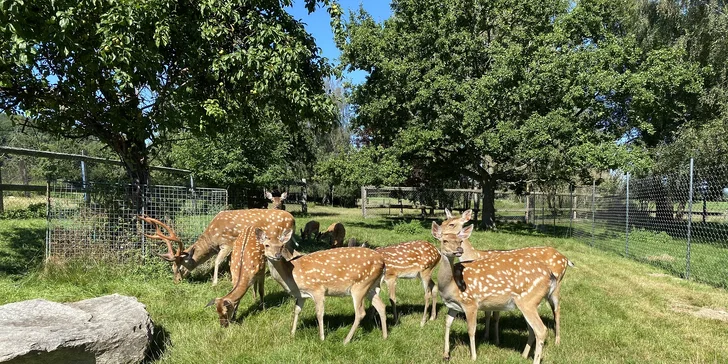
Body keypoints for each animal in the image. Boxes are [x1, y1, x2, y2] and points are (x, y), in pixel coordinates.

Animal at [139, 209, 292, 286]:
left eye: (181, 267)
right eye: (172, 268)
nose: (176, 281)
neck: (212, 240)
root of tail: (292, 218)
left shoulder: (228, 243)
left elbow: (218, 261)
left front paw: (215, 282)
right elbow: (230, 263)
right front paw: (231, 278)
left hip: (279, 239)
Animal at [430, 222, 556, 364]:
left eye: (460, 241)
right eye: (444, 240)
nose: (459, 249)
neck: (451, 285)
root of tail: (550, 275)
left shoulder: (470, 303)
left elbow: (471, 330)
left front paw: (473, 357)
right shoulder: (453, 306)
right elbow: (447, 324)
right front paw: (445, 354)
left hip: (528, 300)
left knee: (541, 329)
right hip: (530, 303)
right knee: (532, 329)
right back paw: (523, 356)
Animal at [438, 209, 576, 346]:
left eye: (452, 224)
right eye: (444, 221)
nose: (438, 232)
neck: (475, 255)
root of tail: (565, 258)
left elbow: (494, 316)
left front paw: (495, 339)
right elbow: (489, 314)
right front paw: (487, 337)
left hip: (556, 286)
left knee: (557, 308)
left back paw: (557, 341)